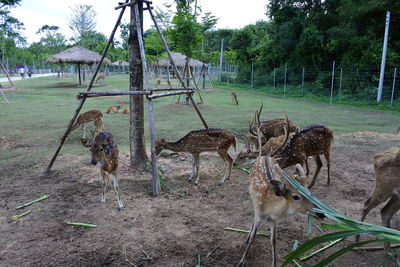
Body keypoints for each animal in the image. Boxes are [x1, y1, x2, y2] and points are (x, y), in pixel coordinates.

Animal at [238, 113, 324, 267]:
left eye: (309, 192)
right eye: (295, 197)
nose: (321, 214)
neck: (269, 209)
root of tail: (264, 156)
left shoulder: (273, 220)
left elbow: (274, 241)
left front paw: (274, 263)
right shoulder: (259, 214)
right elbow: (254, 235)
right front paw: (242, 261)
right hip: (252, 197)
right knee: (252, 215)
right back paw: (247, 237)